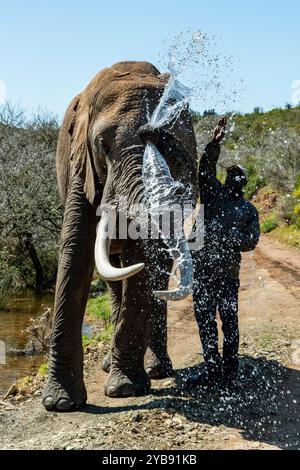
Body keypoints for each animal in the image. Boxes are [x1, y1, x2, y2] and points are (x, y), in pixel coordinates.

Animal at [41, 60, 197, 410]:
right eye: (102, 145)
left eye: (173, 148)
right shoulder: (80, 164)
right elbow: (76, 251)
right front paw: (60, 403)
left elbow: (141, 263)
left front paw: (125, 389)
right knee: (113, 276)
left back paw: (154, 369)